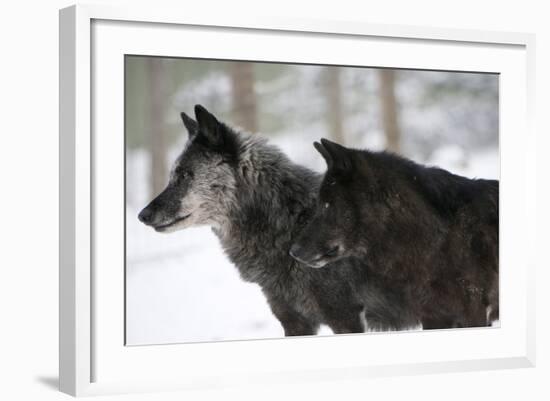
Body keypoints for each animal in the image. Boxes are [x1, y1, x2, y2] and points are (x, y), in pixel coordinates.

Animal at [138, 105, 418, 334]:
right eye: (173, 174)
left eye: (185, 175)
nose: (142, 215)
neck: (292, 224)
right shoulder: (293, 321)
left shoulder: (345, 318)